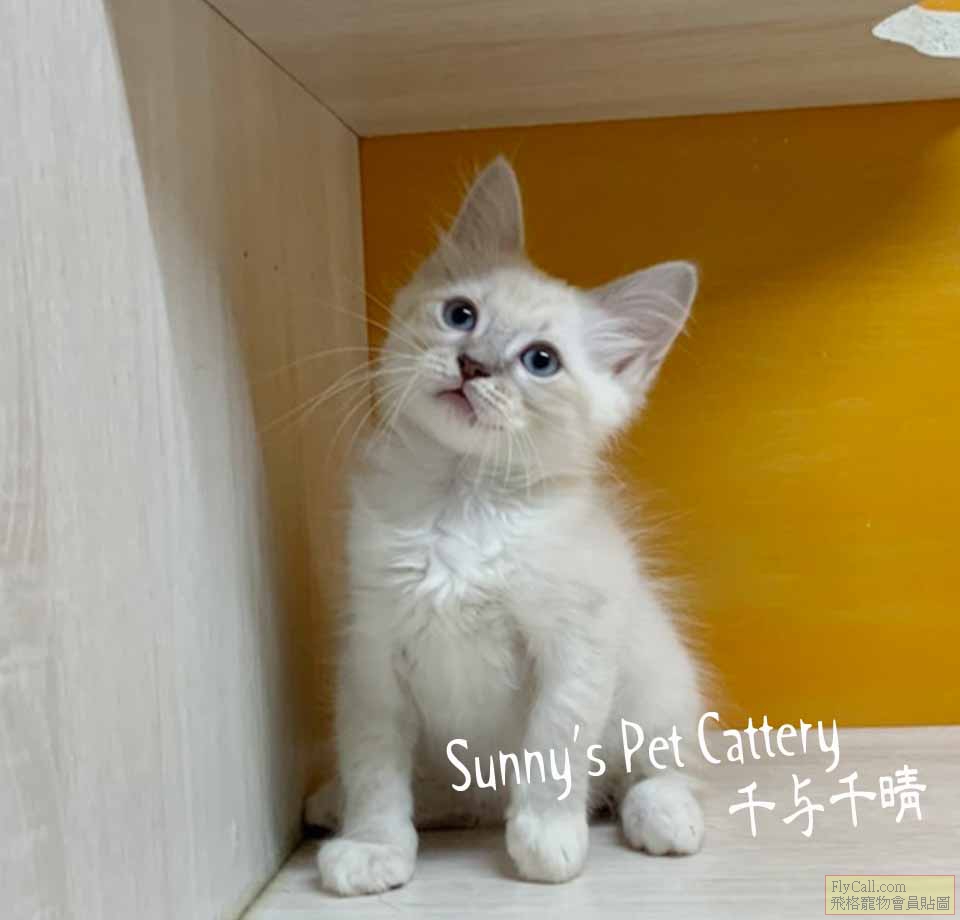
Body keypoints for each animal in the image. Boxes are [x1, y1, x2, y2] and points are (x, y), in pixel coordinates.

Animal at [308, 157, 705, 896]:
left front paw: (546, 841)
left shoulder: (574, 647)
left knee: (654, 771)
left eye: (540, 360)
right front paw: (374, 847)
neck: (461, 504)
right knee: (455, 796)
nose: (474, 365)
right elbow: (374, 771)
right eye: (460, 315)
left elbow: (552, 751)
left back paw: (661, 815)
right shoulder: (372, 654)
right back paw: (341, 804)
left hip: (657, 686)